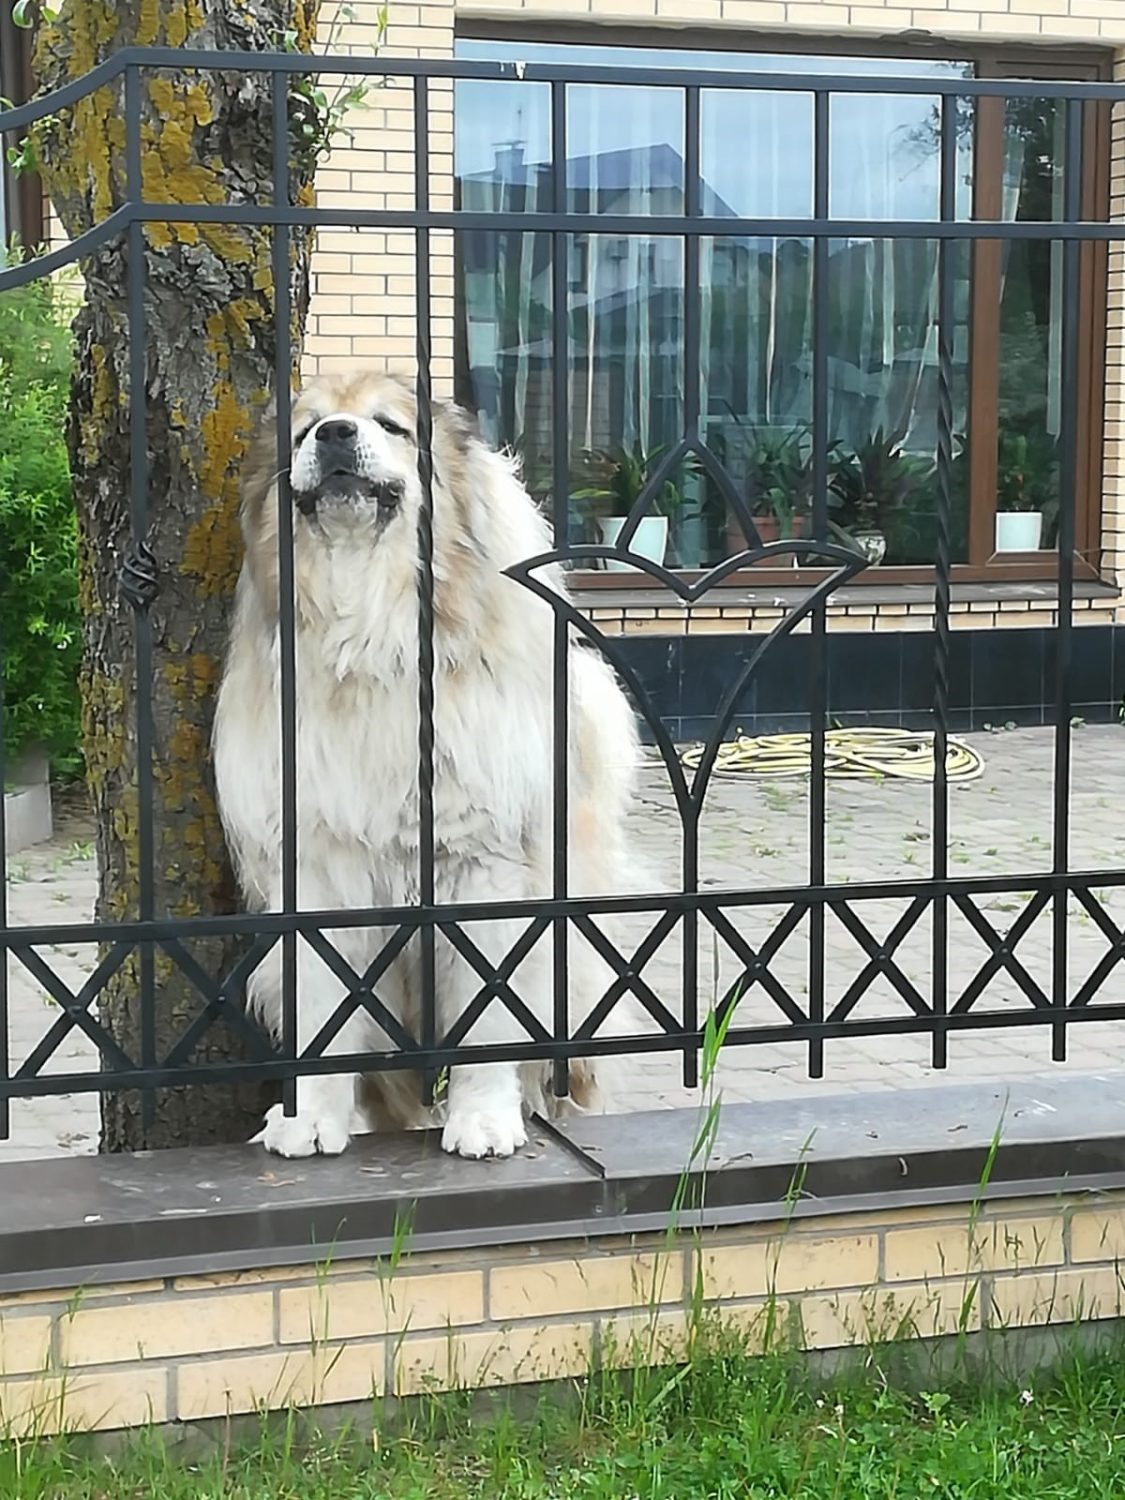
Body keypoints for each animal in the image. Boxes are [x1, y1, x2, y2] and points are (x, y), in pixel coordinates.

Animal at [212, 370, 641, 1159]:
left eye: (390, 426)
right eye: (304, 430)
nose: (336, 435)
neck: (371, 641)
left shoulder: (483, 870)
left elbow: (489, 1016)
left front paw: (484, 1119)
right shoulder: (319, 874)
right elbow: (323, 1009)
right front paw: (309, 1117)